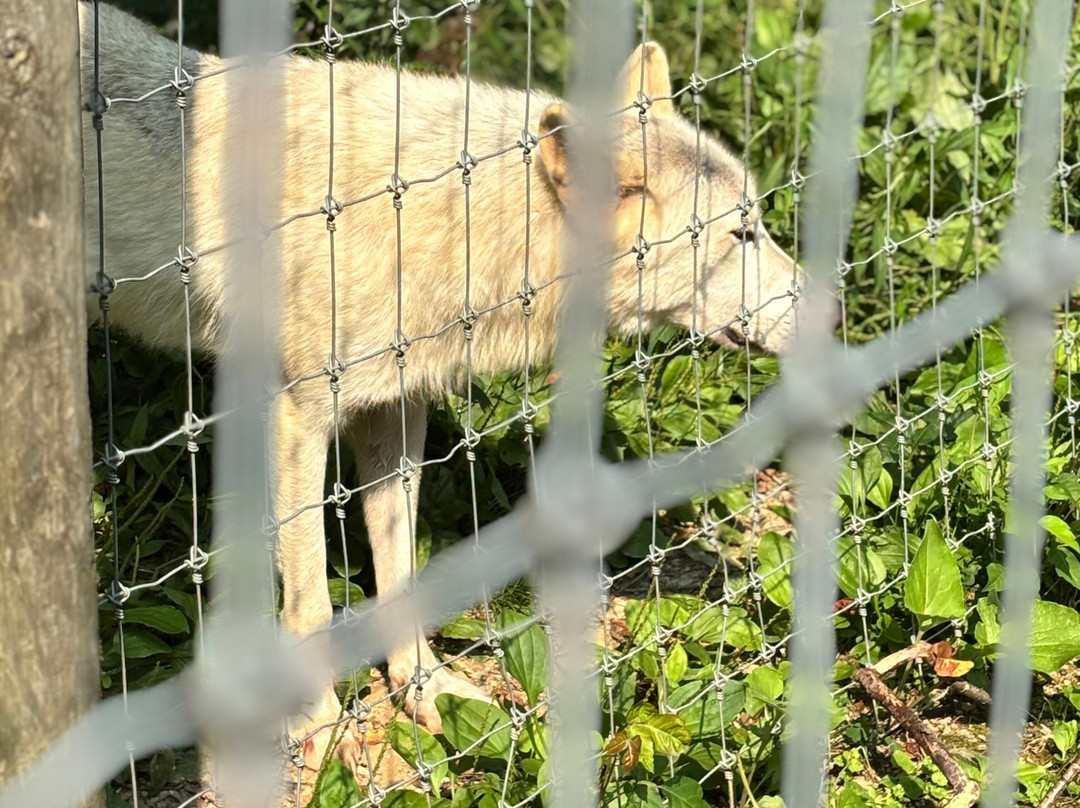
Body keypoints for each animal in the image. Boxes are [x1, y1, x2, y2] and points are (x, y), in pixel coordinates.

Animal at [79, 1, 800, 773]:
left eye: (758, 225)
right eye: (741, 234)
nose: (830, 305)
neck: (440, 219)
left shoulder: (395, 410)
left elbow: (398, 567)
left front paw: (423, 687)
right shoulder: (296, 416)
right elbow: (311, 601)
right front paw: (324, 728)